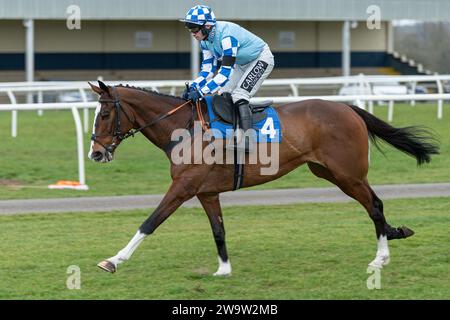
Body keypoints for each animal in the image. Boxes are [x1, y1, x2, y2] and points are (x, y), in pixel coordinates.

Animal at [89, 81, 440, 276]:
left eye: (104, 114)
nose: (95, 153)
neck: (185, 128)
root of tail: (348, 108)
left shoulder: (183, 187)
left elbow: (149, 222)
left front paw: (113, 260)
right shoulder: (206, 192)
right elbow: (218, 230)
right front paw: (224, 269)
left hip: (347, 173)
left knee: (375, 206)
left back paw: (380, 258)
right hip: (330, 172)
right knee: (374, 204)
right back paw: (396, 233)